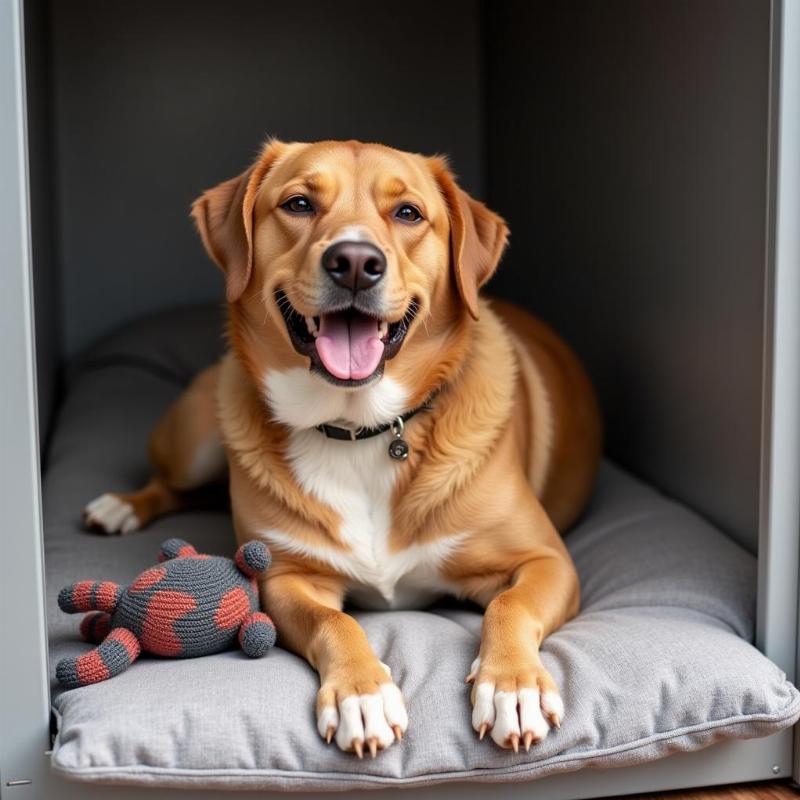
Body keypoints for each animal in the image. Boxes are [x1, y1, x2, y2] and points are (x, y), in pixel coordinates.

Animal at [86, 141, 600, 760]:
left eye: (408, 213)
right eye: (299, 203)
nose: (354, 261)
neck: (361, 428)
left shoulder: (546, 560)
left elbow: (510, 605)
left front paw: (512, 685)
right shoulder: (286, 576)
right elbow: (335, 624)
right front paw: (363, 692)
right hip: (197, 441)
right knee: (167, 484)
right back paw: (120, 506)